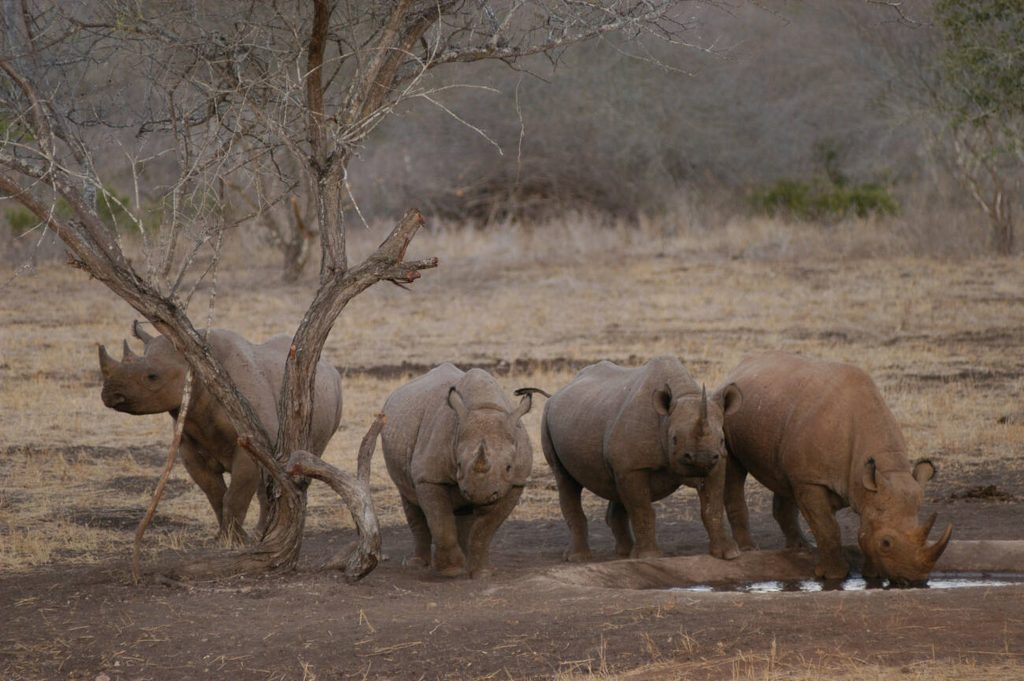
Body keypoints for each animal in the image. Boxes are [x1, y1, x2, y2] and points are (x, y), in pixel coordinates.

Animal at [98, 322, 342, 544]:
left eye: (152, 376)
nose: (109, 394)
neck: (196, 375)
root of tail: (329, 366)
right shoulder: (189, 449)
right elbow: (215, 492)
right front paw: (222, 538)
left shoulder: (249, 443)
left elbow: (236, 495)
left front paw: (236, 540)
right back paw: (263, 534)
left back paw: (263, 534)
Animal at [379, 364, 540, 578]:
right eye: (459, 465)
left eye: (508, 467)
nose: (481, 495)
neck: (485, 407)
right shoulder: (428, 477)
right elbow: (441, 522)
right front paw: (451, 570)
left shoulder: (517, 482)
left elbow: (485, 529)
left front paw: (482, 573)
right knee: (410, 499)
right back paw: (416, 564)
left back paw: (465, 560)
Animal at [541, 356, 743, 562]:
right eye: (674, 439)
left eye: (722, 440)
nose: (701, 458)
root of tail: (558, 392)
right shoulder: (633, 468)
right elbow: (642, 509)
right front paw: (649, 556)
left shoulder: (717, 461)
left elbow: (713, 507)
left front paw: (729, 554)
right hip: (547, 416)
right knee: (565, 479)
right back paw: (579, 558)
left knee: (615, 486)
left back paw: (625, 553)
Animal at [721, 351, 952, 584]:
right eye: (886, 543)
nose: (915, 580)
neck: (886, 469)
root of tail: (739, 367)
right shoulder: (811, 480)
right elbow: (827, 527)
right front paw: (834, 576)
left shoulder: (866, 489)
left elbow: (864, 528)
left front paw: (873, 576)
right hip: (728, 418)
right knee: (735, 471)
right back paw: (749, 549)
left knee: (784, 481)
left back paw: (801, 548)